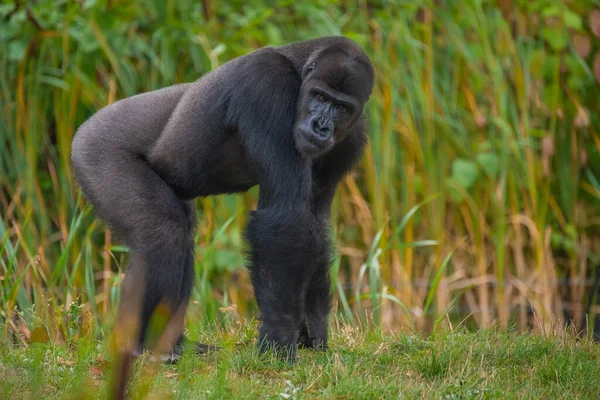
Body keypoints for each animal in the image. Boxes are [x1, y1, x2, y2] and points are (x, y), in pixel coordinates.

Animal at [71, 36, 376, 362]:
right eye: (318, 96)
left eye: (341, 107)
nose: (321, 125)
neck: (298, 67)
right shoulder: (266, 83)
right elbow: (285, 216)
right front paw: (279, 334)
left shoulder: (353, 134)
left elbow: (313, 220)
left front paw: (313, 323)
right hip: (96, 149)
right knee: (162, 232)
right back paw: (145, 344)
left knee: (179, 231)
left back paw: (173, 343)